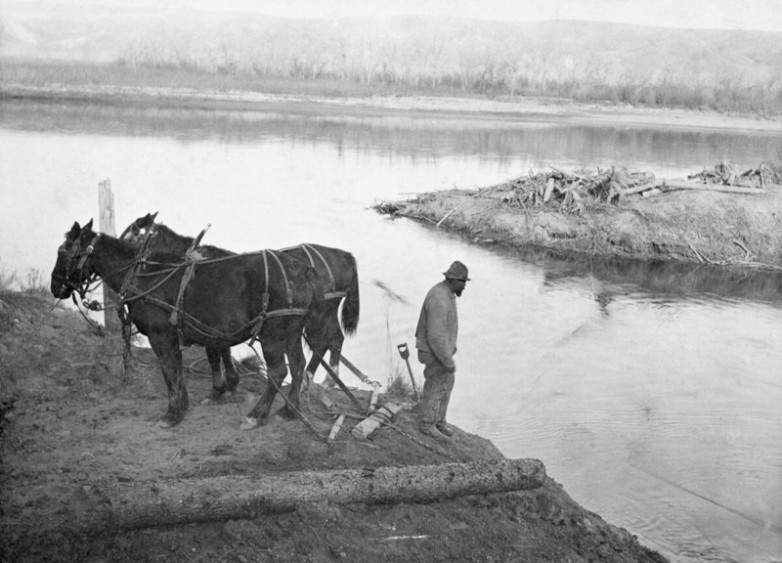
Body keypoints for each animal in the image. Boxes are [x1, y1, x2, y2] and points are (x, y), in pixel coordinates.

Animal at [52, 219, 326, 428]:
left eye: (62, 251)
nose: (55, 286)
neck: (142, 275)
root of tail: (303, 270)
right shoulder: (177, 336)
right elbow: (179, 368)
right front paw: (184, 405)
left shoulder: (160, 336)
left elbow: (169, 371)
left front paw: (172, 413)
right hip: (292, 333)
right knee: (298, 366)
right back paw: (289, 411)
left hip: (273, 336)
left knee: (278, 372)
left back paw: (256, 415)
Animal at [120, 212, 362, 400]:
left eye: (132, 235)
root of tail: (346, 256)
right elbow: (223, 350)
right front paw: (230, 383)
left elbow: (215, 353)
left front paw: (224, 386)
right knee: (333, 339)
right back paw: (322, 380)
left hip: (320, 314)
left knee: (325, 341)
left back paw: (314, 379)